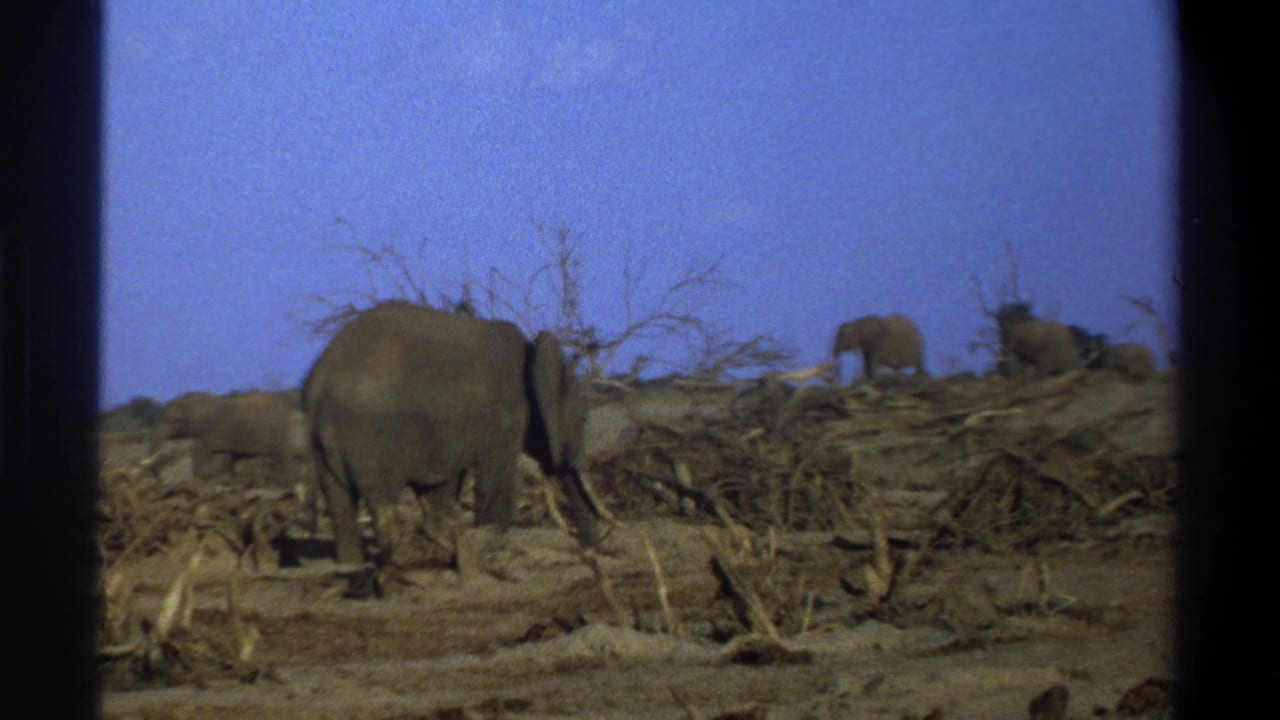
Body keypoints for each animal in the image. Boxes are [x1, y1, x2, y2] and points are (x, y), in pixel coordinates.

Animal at [302, 300, 598, 569]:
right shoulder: (505, 416)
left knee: (340, 504)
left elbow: (441, 488)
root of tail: (319, 385)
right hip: (370, 435)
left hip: (320, 442)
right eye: (582, 419)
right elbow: (495, 478)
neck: (533, 352)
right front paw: (492, 545)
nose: (592, 552)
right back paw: (396, 562)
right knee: (381, 502)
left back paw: (352, 565)